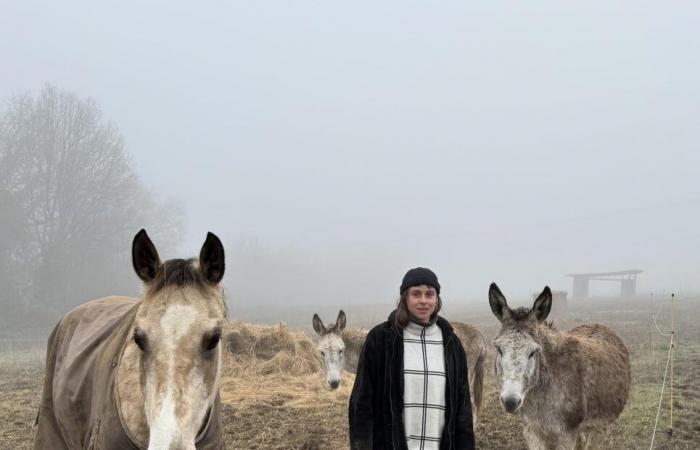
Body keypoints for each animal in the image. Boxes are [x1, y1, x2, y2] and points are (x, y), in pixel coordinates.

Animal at [490, 284, 632, 448]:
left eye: (533, 352)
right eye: (499, 349)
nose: (510, 402)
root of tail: (599, 325)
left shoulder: (566, 434)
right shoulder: (532, 430)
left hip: (602, 424)